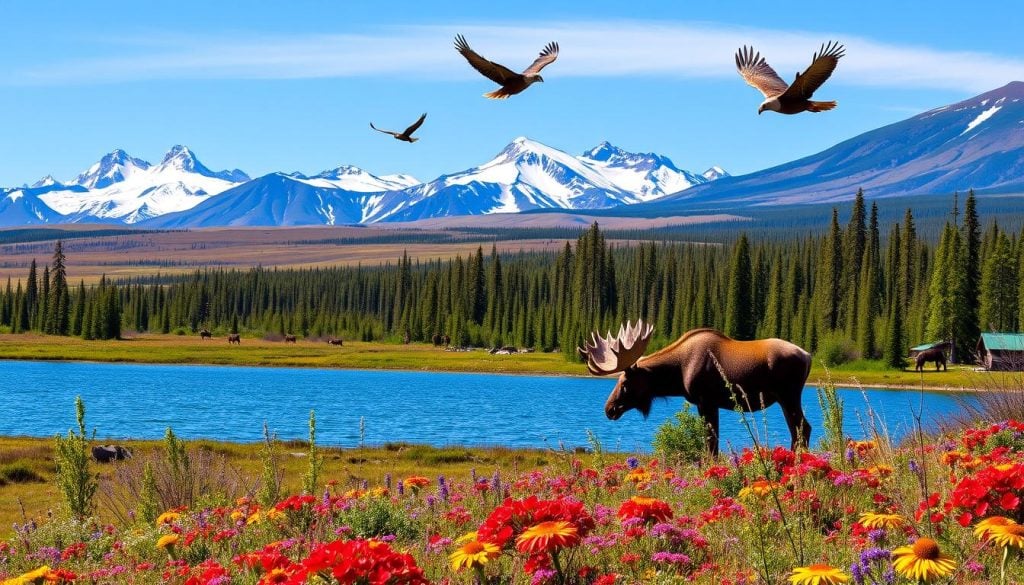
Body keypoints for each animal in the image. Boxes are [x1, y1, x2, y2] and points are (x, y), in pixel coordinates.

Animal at [581, 323, 811, 454]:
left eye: (625, 383)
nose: (609, 409)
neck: (676, 375)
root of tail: (808, 356)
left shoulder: (706, 400)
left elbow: (710, 443)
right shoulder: (705, 404)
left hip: (788, 395)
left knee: (802, 428)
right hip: (785, 398)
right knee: (797, 430)